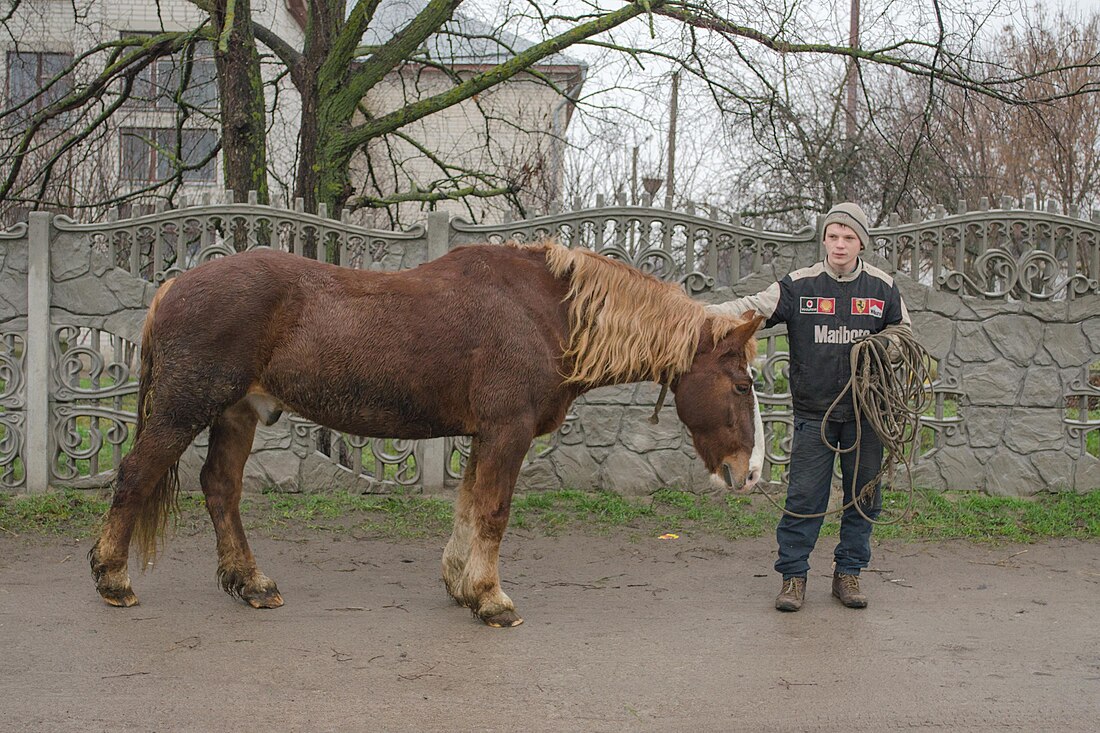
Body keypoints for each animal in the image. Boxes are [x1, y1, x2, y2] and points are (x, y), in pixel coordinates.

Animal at [90, 239, 765, 620]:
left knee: (220, 489)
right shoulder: (507, 431)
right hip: (183, 410)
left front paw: (462, 585)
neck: (546, 312)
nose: (750, 473)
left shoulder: (484, 435)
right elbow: (493, 512)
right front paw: (491, 599)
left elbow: (469, 507)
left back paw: (251, 583)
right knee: (136, 476)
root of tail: (175, 285)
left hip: (236, 413)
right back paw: (114, 579)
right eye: (742, 385)